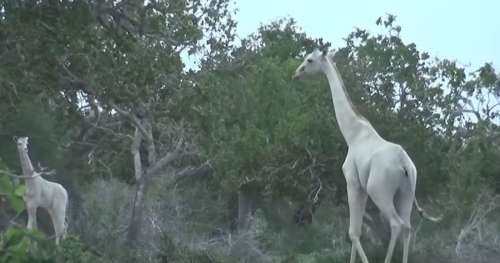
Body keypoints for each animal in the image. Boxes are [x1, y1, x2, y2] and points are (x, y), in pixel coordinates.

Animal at [292, 50, 442, 263]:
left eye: (309, 60)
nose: (296, 73)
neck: (353, 134)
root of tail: (404, 165)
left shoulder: (353, 183)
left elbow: (353, 232)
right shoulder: (361, 188)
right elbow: (357, 232)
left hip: (379, 190)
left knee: (396, 224)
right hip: (406, 193)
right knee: (407, 227)